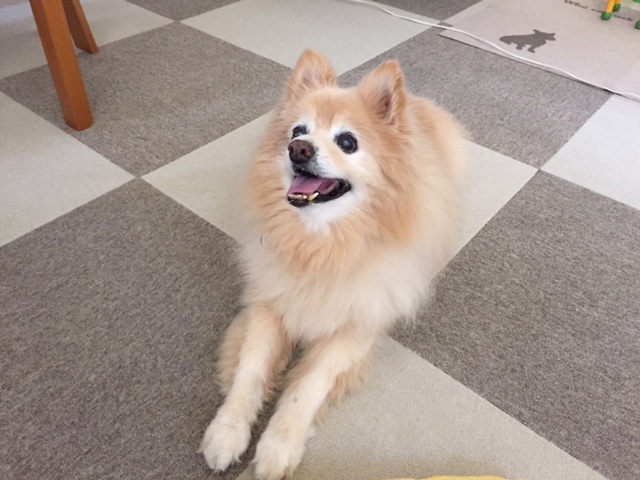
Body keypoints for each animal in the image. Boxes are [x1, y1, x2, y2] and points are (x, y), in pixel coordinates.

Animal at [200, 49, 467, 480]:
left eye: (347, 142)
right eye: (297, 131)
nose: (299, 149)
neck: (320, 245)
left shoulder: (353, 328)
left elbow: (307, 388)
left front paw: (278, 447)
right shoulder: (268, 305)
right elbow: (250, 371)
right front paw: (227, 432)